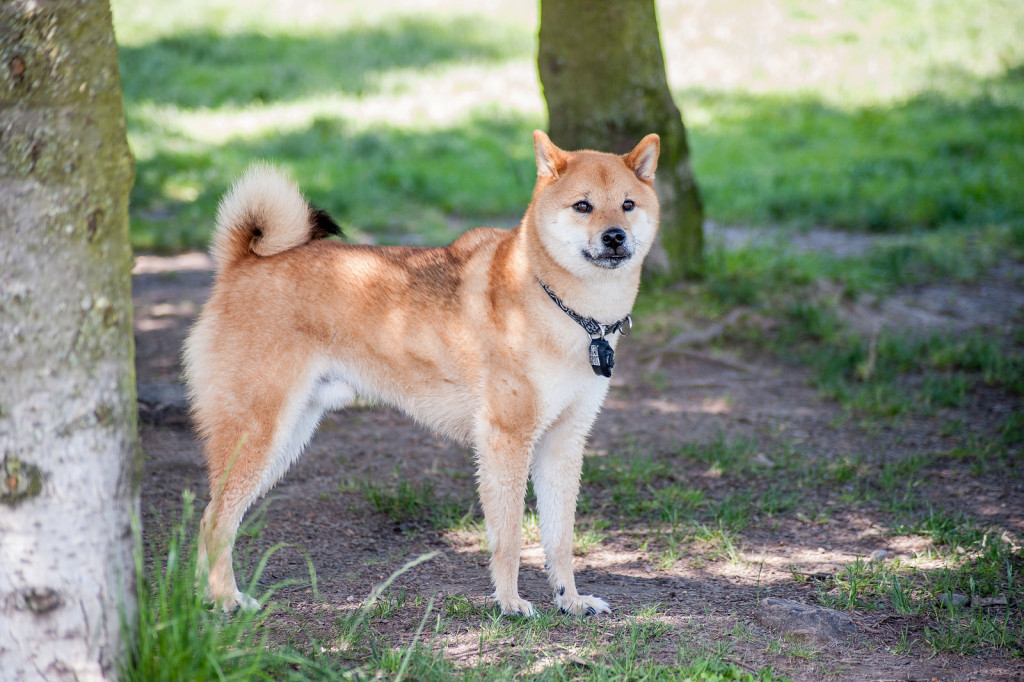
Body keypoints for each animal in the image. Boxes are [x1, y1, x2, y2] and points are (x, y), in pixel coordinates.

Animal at [184, 130, 659, 614]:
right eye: (582, 205)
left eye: (627, 204)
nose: (615, 236)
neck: (569, 311)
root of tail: (243, 263)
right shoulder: (506, 438)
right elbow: (508, 537)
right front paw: (510, 603)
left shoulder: (563, 440)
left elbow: (560, 538)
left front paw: (571, 601)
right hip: (259, 434)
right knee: (214, 519)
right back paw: (226, 599)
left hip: (287, 439)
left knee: (212, 518)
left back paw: (205, 600)